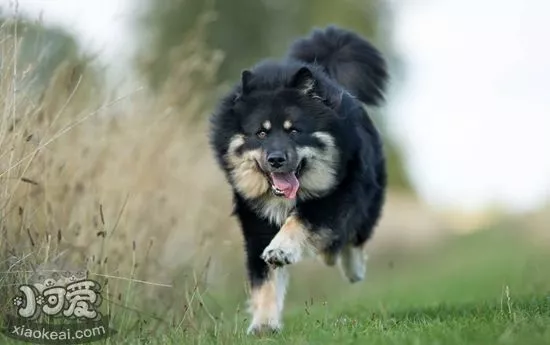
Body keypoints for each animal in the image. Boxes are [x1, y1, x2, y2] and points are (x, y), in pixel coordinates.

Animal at [209, 26, 390, 334]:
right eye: (261, 133)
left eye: (293, 131)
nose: (276, 159)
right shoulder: (256, 222)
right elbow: (264, 278)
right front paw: (264, 325)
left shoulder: (335, 196)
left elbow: (300, 221)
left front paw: (282, 248)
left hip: (367, 198)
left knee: (354, 237)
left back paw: (352, 268)